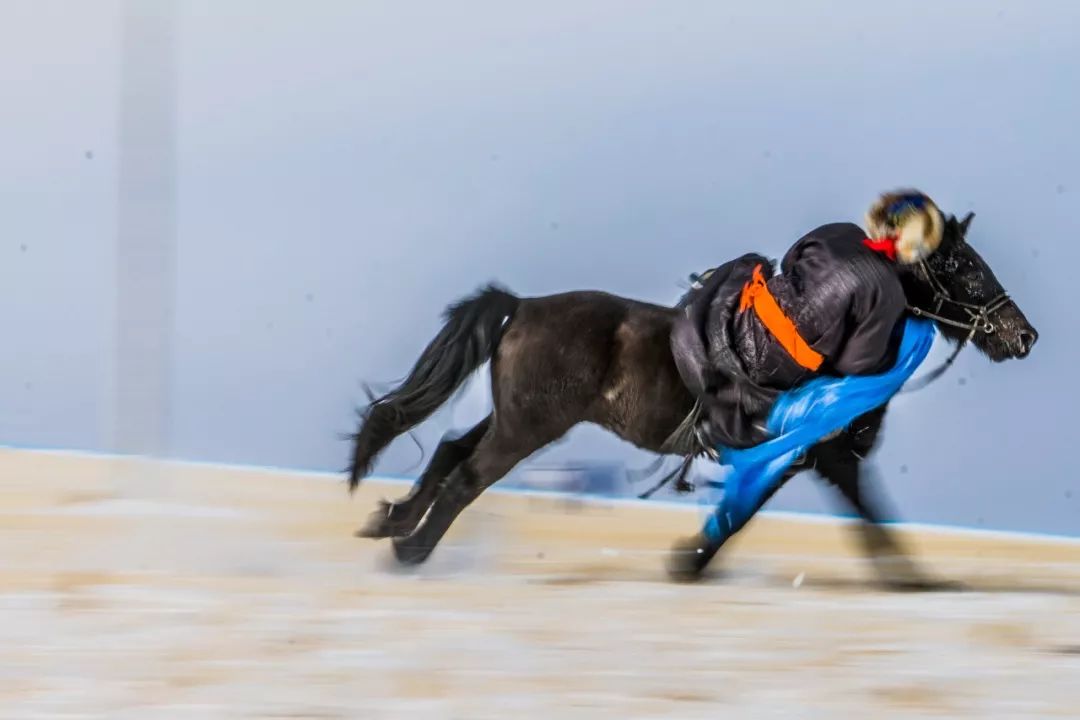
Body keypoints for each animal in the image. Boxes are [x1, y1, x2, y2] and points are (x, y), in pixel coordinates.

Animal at [345, 207, 1036, 587]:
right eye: (966, 268)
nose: (1022, 334)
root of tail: (522, 308)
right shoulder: (818, 455)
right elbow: (844, 516)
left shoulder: (806, 459)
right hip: (527, 428)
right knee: (466, 476)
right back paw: (410, 550)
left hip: (514, 417)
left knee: (449, 450)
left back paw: (391, 521)